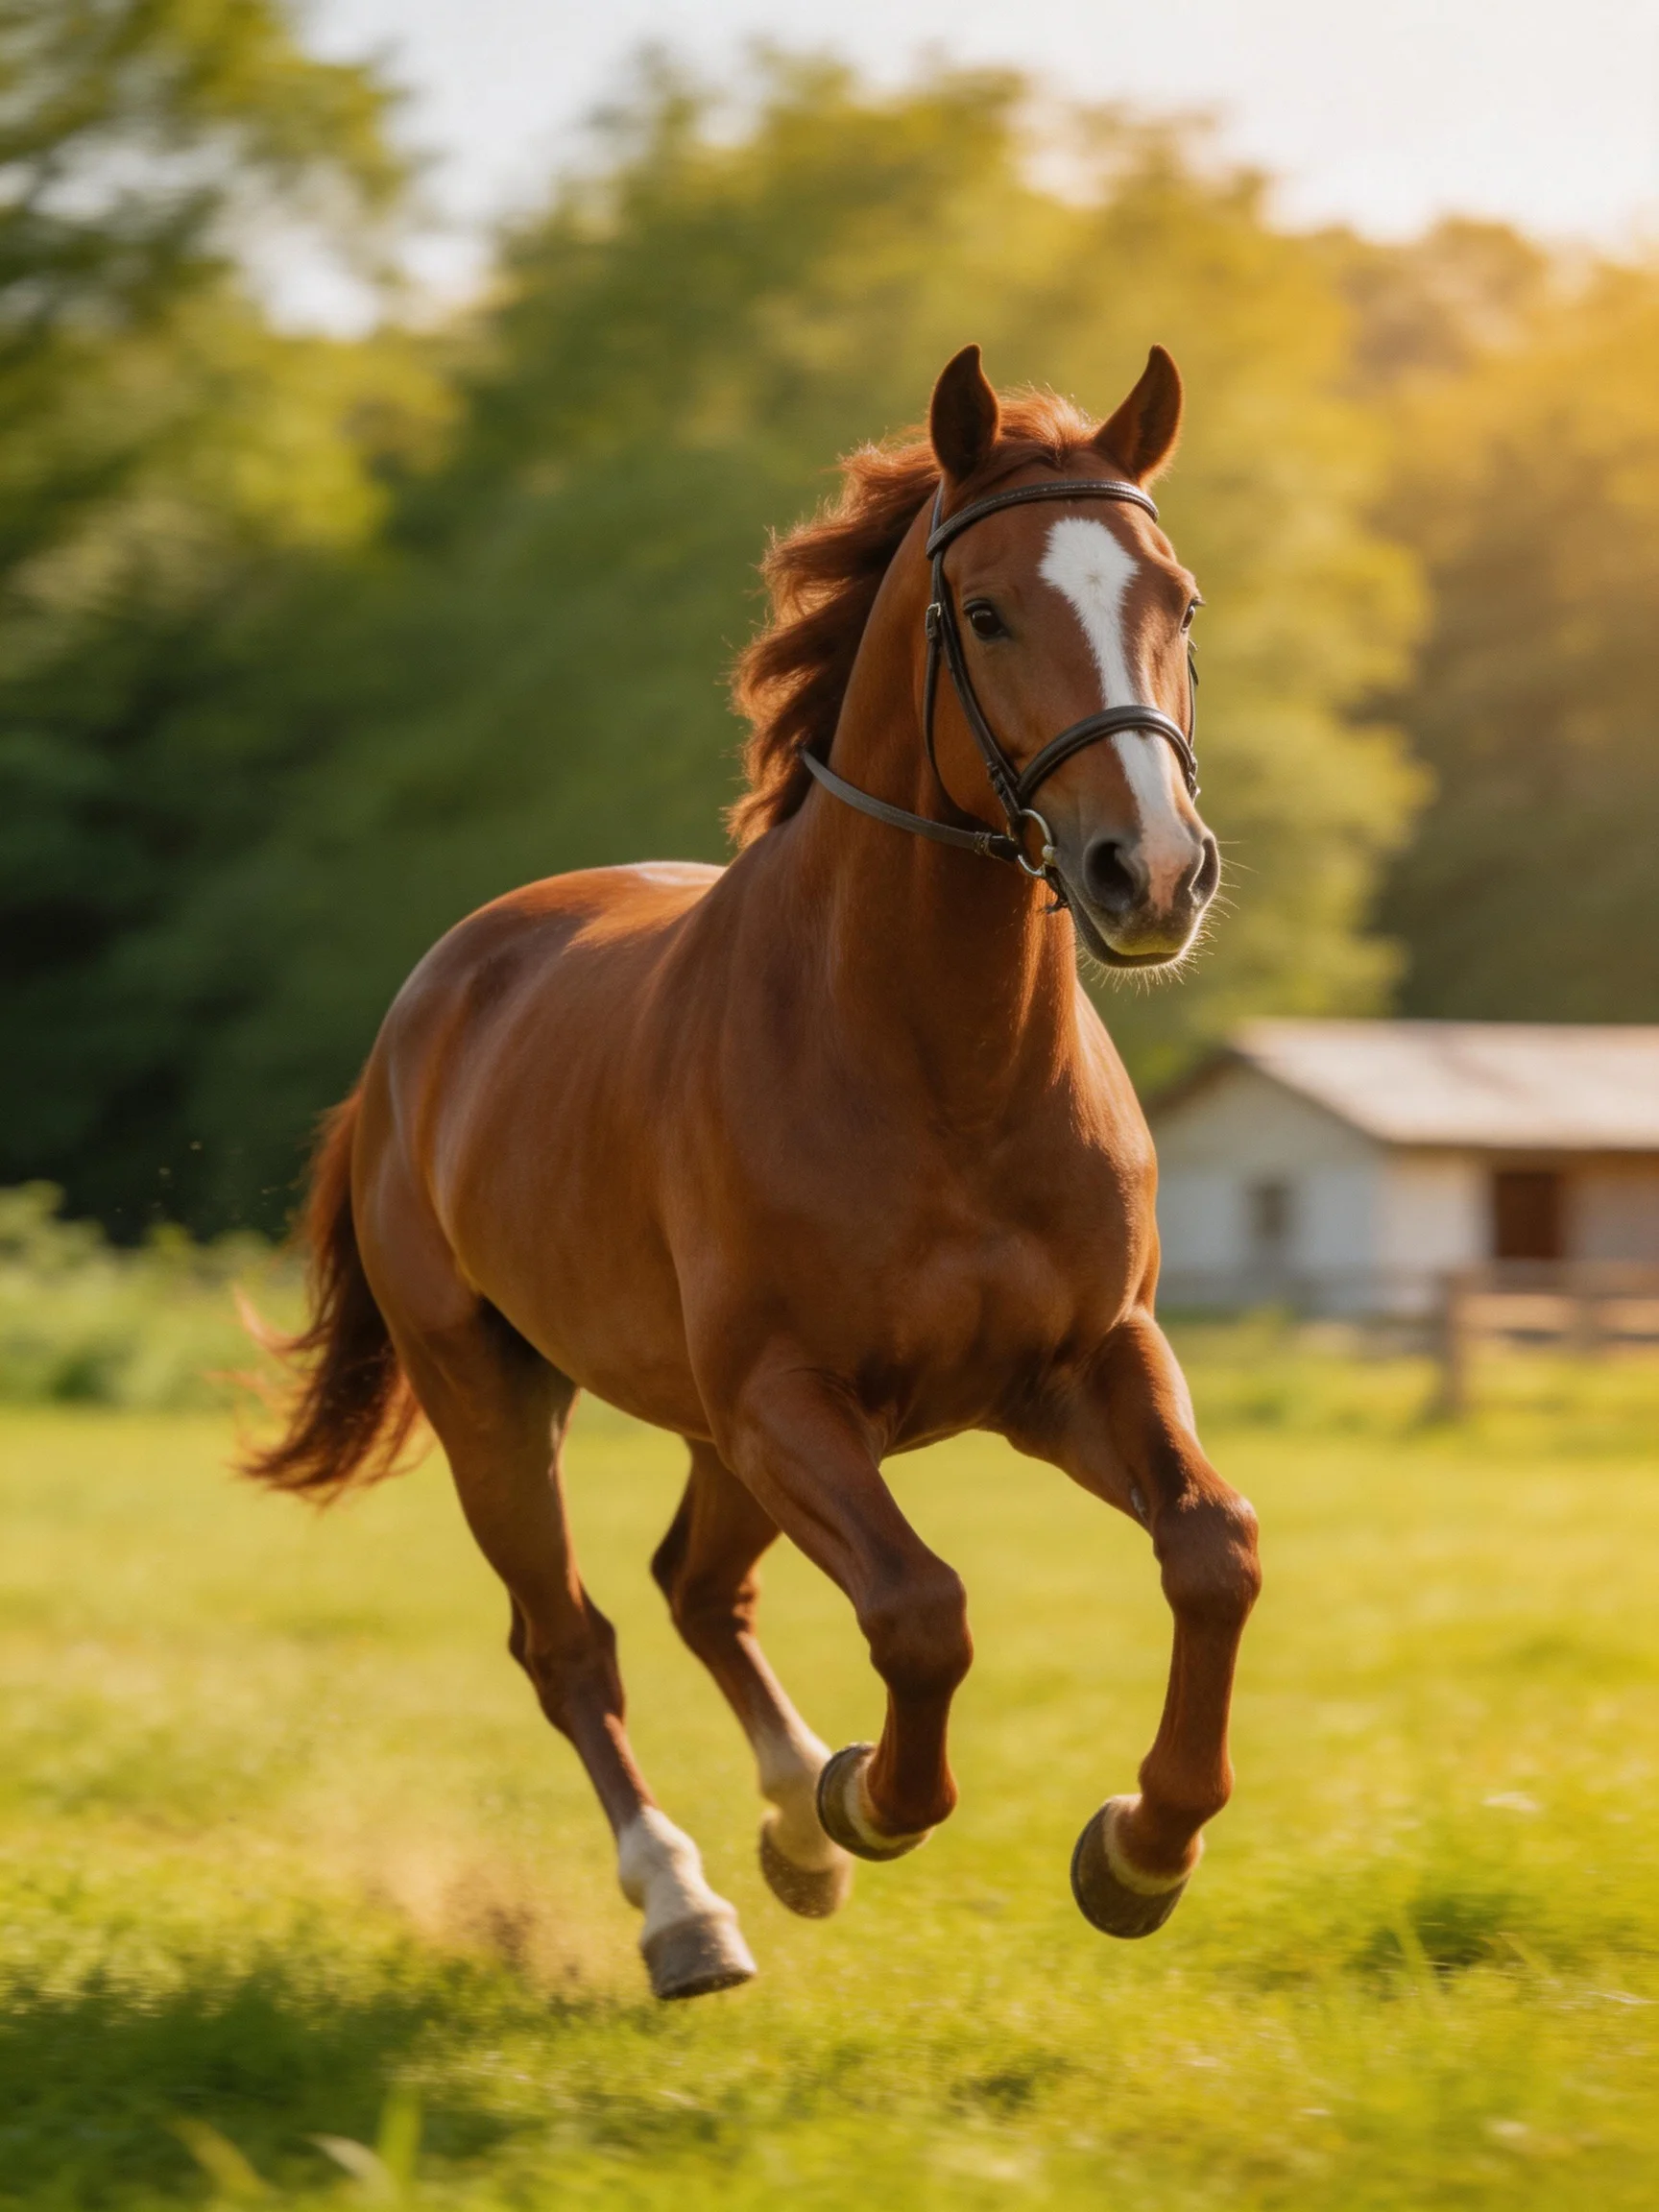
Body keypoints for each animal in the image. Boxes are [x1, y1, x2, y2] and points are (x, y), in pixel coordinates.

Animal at [247, 342, 1262, 2001]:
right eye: (989, 611)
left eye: (1176, 598)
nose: (1153, 874)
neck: (941, 1069)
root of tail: (431, 1000)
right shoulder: (794, 1399)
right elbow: (922, 1612)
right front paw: (876, 1800)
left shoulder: (1084, 1366)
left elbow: (1212, 1553)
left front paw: (1139, 1850)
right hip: (496, 1395)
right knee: (572, 1640)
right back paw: (688, 1909)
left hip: (710, 1434)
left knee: (696, 1588)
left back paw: (790, 1835)